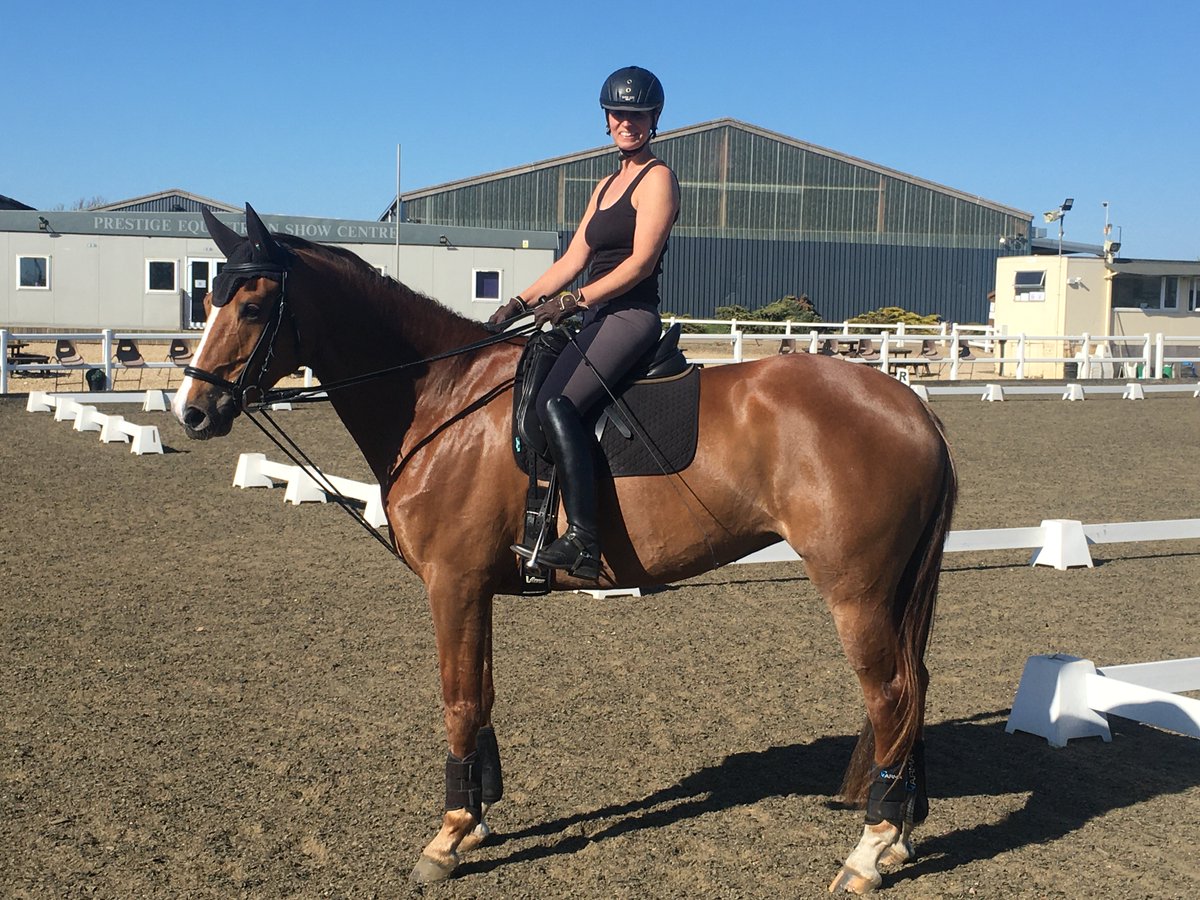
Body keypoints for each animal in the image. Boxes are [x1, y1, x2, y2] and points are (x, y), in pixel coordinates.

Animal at [175, 206, 955, 897]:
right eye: (209, 296)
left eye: (253, 307)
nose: (191, 411)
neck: (442, 400)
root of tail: (910, 408)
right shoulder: (476, 587)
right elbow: (482, 695)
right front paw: (477, 818)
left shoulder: (451, 583)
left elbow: (458, 700)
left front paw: (447, 837)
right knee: (913, 686)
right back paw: (900, 832)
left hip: (856, 590)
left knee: (890, 693)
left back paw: (868, 853)